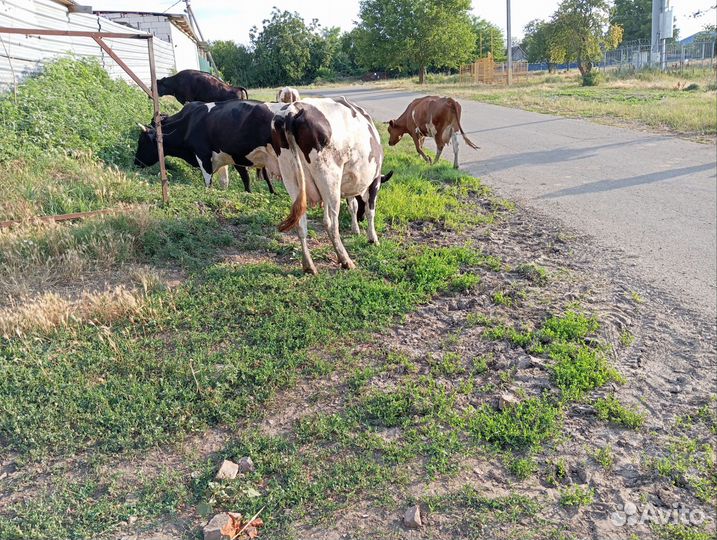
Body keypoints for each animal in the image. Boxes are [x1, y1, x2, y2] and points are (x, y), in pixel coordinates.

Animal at [134, 100, 279, 193]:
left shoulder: (203, 155)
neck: (188, 122)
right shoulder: (229, 157)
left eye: (141, 142)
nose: (135, 162)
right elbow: (230, 181)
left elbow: (209, 182)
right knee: (268, 178)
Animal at [271, 97, 392, 274]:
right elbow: (370, 210)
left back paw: (309, 266)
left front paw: (356, 228)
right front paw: (372, 238)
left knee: (301, 223)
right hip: (330, 176)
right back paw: (345, 260)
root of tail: (293, 111)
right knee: (331, 224)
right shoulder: (374, 180)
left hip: (291, 177)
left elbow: (352, 206)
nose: (360, 219)